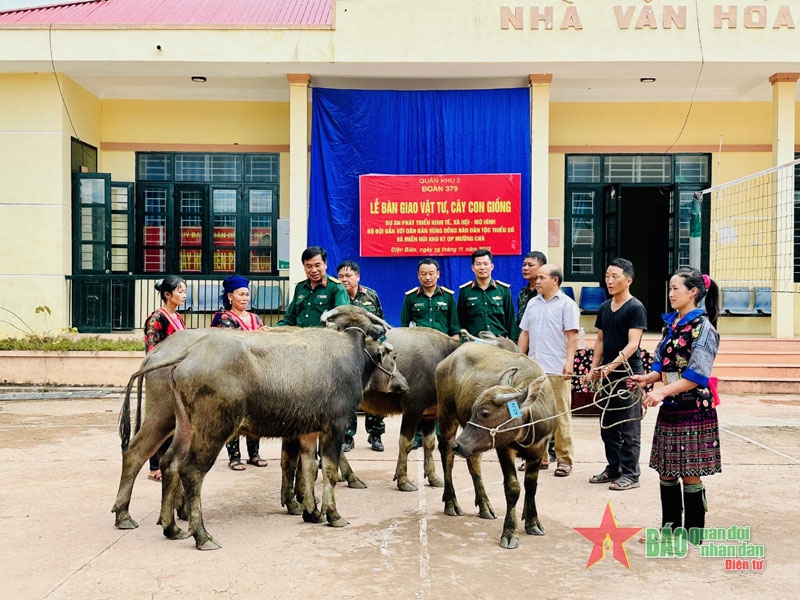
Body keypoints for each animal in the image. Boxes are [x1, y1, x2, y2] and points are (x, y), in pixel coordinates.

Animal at [438, 344, 556, 552]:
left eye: (485, 413)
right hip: (447, 416)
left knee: (473, 463)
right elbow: (513, 488)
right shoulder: (504, 449)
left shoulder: (539, 450)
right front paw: (509, 533)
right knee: (447, 457)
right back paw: (451, 503)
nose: (458, 446)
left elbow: (531, 486)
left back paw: (485, 506)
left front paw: (533, 522)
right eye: (474, 410)